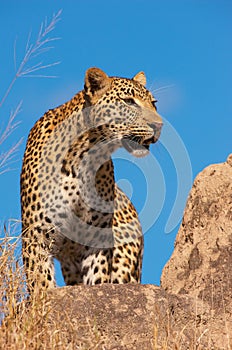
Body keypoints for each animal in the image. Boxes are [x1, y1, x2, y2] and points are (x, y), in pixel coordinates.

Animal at [20, 67, 163, 292]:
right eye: (129, 101)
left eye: (153, 103)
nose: (158, 125)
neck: (83, 154)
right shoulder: (36, 234)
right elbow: (41, 283)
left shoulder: (98, 237)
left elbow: (98, 278)